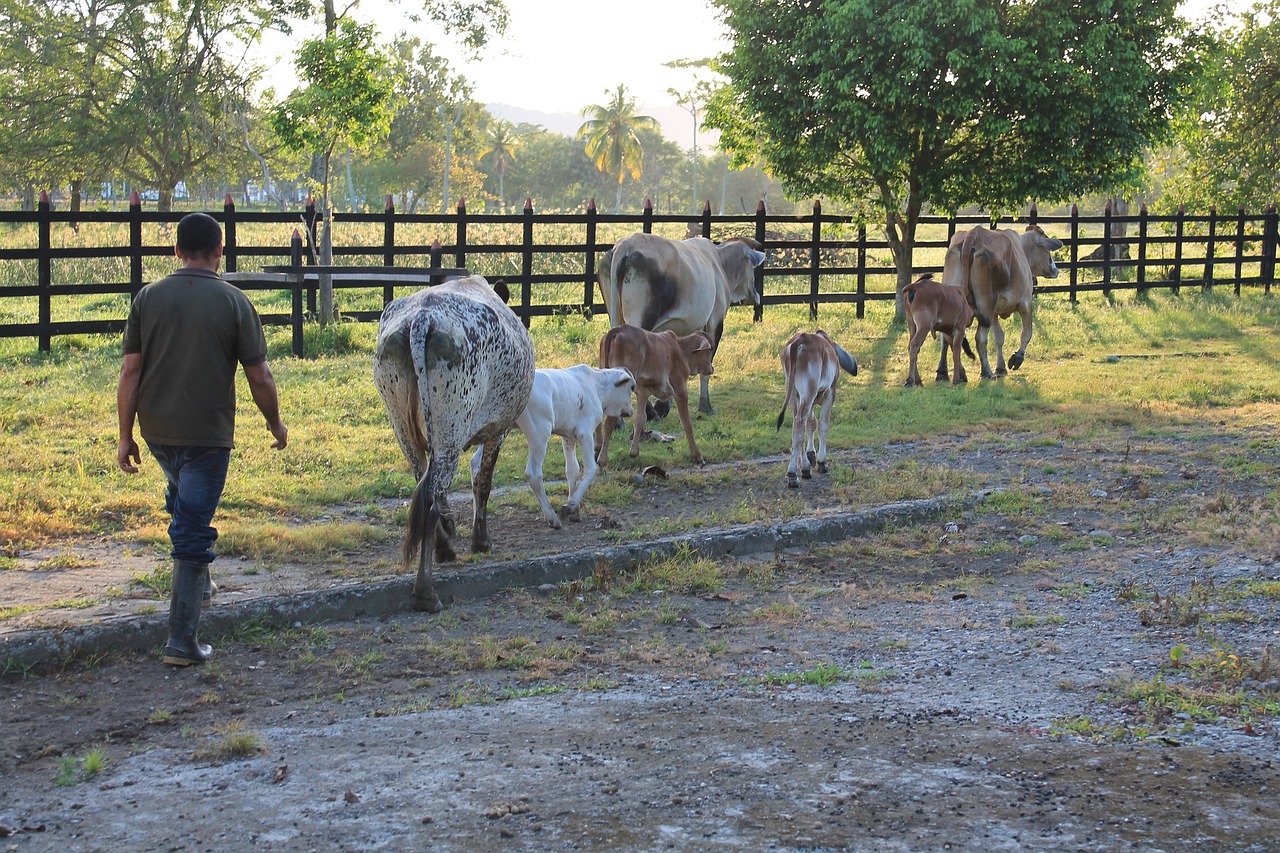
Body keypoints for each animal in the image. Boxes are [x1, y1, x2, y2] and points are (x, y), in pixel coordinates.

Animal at [373, 275, 532, 607]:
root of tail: (423, 317)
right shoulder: (498, 430)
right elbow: (483, 484)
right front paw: (481, 541)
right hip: (449, 433)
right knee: (431, 501)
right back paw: (426, 591)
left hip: (404, 430)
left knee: (425, 488)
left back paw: (442, 548)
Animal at [473, 363, 637, 525]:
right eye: (632, 387)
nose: (630, 411)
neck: (595, 385)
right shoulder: (585, 433)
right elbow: (591, 469)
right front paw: (570, 507)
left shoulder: (568, 437)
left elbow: (572, 470)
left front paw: (575, 511)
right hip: (539, 434)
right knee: (533, 474)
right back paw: (552, 517)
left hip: (498, 431)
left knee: (475, 466)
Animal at [596, 233, 762, 412]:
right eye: (752, 269)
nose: (756, 295)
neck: (719, 263)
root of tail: (626, 244)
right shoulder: (714, 323)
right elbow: (706, 367)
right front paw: (705, 405)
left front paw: (664, 404)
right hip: (640, 322)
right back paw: (649, 412)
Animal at [596, 322, 716, 466]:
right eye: (710, 350)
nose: (711, 368)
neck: (681, 349)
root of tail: (619, 329)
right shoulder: (680, 388)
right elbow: (686, 422)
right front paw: (697, 456)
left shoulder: (643, 392)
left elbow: (640, 419)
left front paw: (634, 452)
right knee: (610, 420)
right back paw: (602, 458)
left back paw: (597, 447)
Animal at [936, 224, 1064, 376]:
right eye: (1047, 250)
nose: (1055, 269)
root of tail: (974, 234)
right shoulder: (1025, 303)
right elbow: (1027, 333)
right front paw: (1017, 358)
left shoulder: (994, 313)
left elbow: (998, 337)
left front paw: (1000, 367)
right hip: (986, 305)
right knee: (980, 338)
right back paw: (986, 371)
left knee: (947, 336)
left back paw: (946, 371)